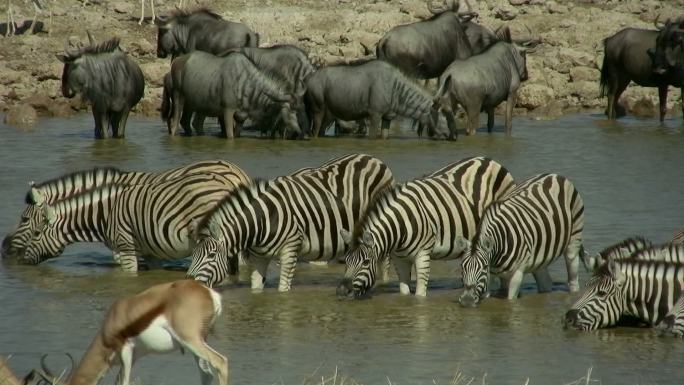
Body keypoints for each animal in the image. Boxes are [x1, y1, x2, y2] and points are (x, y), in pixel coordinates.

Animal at [334, 155, 516, 296]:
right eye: (346, 261)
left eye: (365, 262)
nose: (342, 291)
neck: (400, 227)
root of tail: (489, 160)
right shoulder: (399, 258)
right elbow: (404, 291)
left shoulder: (423, 254)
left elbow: (420, 295)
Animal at [456, 172, 584, 304]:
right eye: (462, 267)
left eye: (484, 267)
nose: (467, 299)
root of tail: (554, 175)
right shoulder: (490, 277)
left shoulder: (517, 274)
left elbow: (511, 300)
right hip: (539, 255)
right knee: (545, 282)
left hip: (574, 236)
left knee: (573, 274)